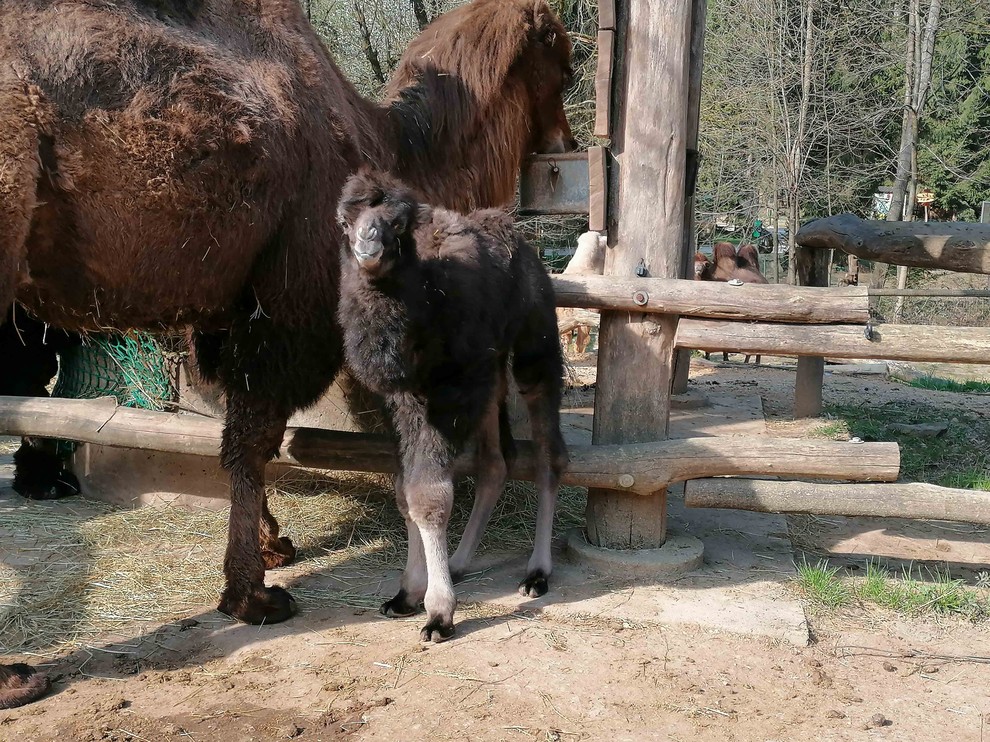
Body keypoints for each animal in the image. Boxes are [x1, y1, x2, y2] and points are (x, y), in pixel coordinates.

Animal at [338, 167, 568, 640]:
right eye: (344, 222)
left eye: (398, 225)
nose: (368, 244)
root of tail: (522, 244)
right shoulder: (400, 402)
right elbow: (404, 491)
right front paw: (406, 593)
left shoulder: (447, 395)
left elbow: (430, 496)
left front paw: (438, 613)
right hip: (489, 373)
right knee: (496, 463)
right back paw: (460, 562)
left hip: (532, 340)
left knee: (547, 451)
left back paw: (536, 573)